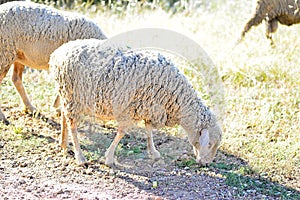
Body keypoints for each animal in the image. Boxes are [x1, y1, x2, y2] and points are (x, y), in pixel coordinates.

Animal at [49, 38, 223, 166]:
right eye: (209, 144)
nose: (206, 163)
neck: (177, 97)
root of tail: (57, 53)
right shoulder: (130, 110)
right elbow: (121, 133)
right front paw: (109, 158)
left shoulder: (149, 107)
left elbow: (149, 130)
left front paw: (153, 153)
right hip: (73, 95)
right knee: (73, 125)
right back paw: (80, 157)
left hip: (67, 95)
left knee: (64, 115)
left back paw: (63, 144)